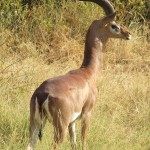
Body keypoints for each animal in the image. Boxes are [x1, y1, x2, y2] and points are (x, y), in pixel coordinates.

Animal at [27, 0, 131, 149]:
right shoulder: (87, 114)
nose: (128, 34)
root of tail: (42, 94)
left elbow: (74, 143)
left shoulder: (73, 122)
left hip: (35, 123)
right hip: (60, 128)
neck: (87, 72)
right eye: (114, 25)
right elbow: (83, 141)